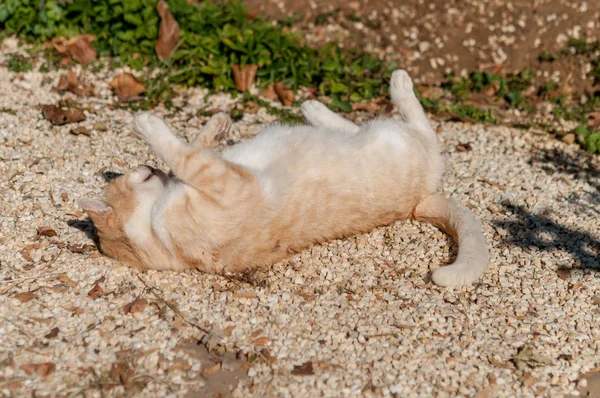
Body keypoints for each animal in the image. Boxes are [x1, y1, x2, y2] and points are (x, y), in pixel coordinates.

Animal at [79, 69, 490, 286]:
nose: (146, 168)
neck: (153, 222)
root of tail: (421, 200)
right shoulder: (222, 182)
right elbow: (184, 154)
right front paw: (147, 124)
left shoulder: (212, 173)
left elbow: (192, 148)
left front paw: (215, 126)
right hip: (402, 140)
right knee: (422, 127)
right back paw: (392, 84)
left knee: (366, 126)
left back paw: (315, 108)